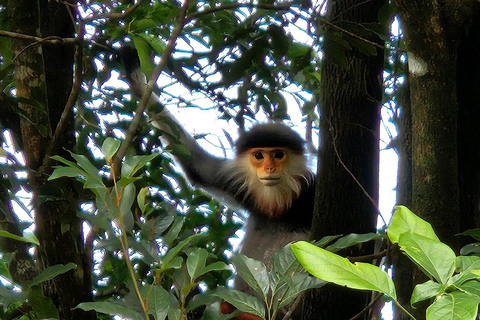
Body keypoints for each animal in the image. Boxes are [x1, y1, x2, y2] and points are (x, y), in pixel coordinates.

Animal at [120, 47, 316, 320]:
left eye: (278, 155)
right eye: (259, 156)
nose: (269, 168)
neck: (278, 200)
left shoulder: (311, 190)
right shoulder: (238, 182)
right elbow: (198, 168)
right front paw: (135, 76)